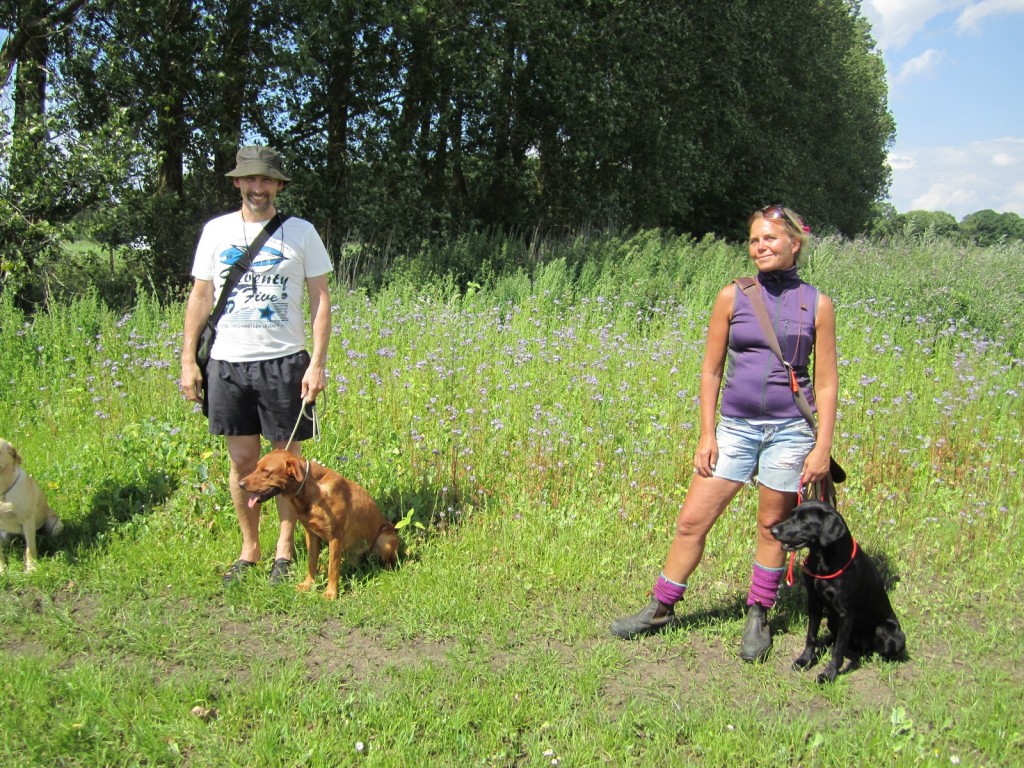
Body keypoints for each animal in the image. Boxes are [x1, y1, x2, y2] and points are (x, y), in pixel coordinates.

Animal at [237, 450, 397, 602]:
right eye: (256, 467)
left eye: (266, 471)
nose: (241, 484)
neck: (311, 492)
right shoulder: (312, 534)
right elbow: (312, 563)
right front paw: (308, 584)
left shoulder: (335, 538)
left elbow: (333, 570)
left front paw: (331, 593)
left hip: (385, 539)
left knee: (388, 562)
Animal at [770, 499, 905, 684]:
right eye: (792, 514)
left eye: (803, 521)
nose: (773, 530)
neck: (823, 560)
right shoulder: (814, 601)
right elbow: (811, 636)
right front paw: (805, 659)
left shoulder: (846, 613)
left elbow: (839, 650)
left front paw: (829, 674)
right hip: (832, 620)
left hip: (887, 631)